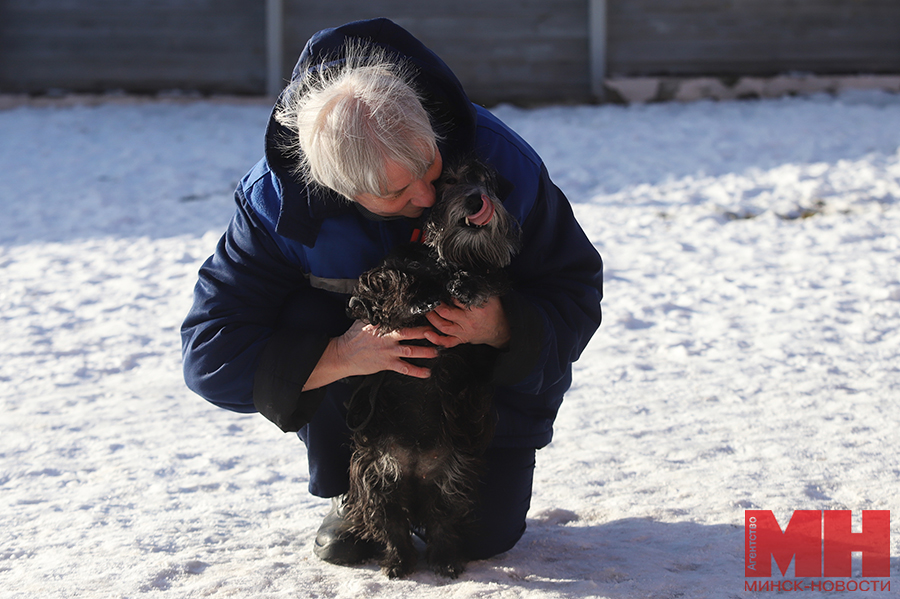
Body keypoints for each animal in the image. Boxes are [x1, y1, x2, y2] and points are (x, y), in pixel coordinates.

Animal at [342, 162, 520, 580]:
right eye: (450, 179)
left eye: (487, 181)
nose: (476, 200)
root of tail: (414, 469)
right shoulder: (379, 282)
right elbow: (393, 282)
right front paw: (420, 295)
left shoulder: (488, 279)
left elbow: (482, 279)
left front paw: (462, 286)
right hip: (374, 476)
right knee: (392, 526)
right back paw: (397, 562)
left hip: (451, 481)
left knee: (442, 523)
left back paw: (445, 560)